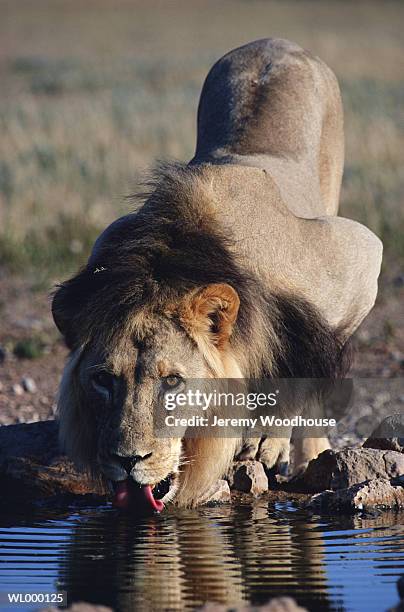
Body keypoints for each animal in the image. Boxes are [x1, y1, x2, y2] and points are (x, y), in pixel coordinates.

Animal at [51, 38, 382, 512]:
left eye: (172, 381)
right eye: (103, 380)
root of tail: (274, 41)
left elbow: (305, 366)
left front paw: (271, 440)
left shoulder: (359, 258)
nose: (127, 460)